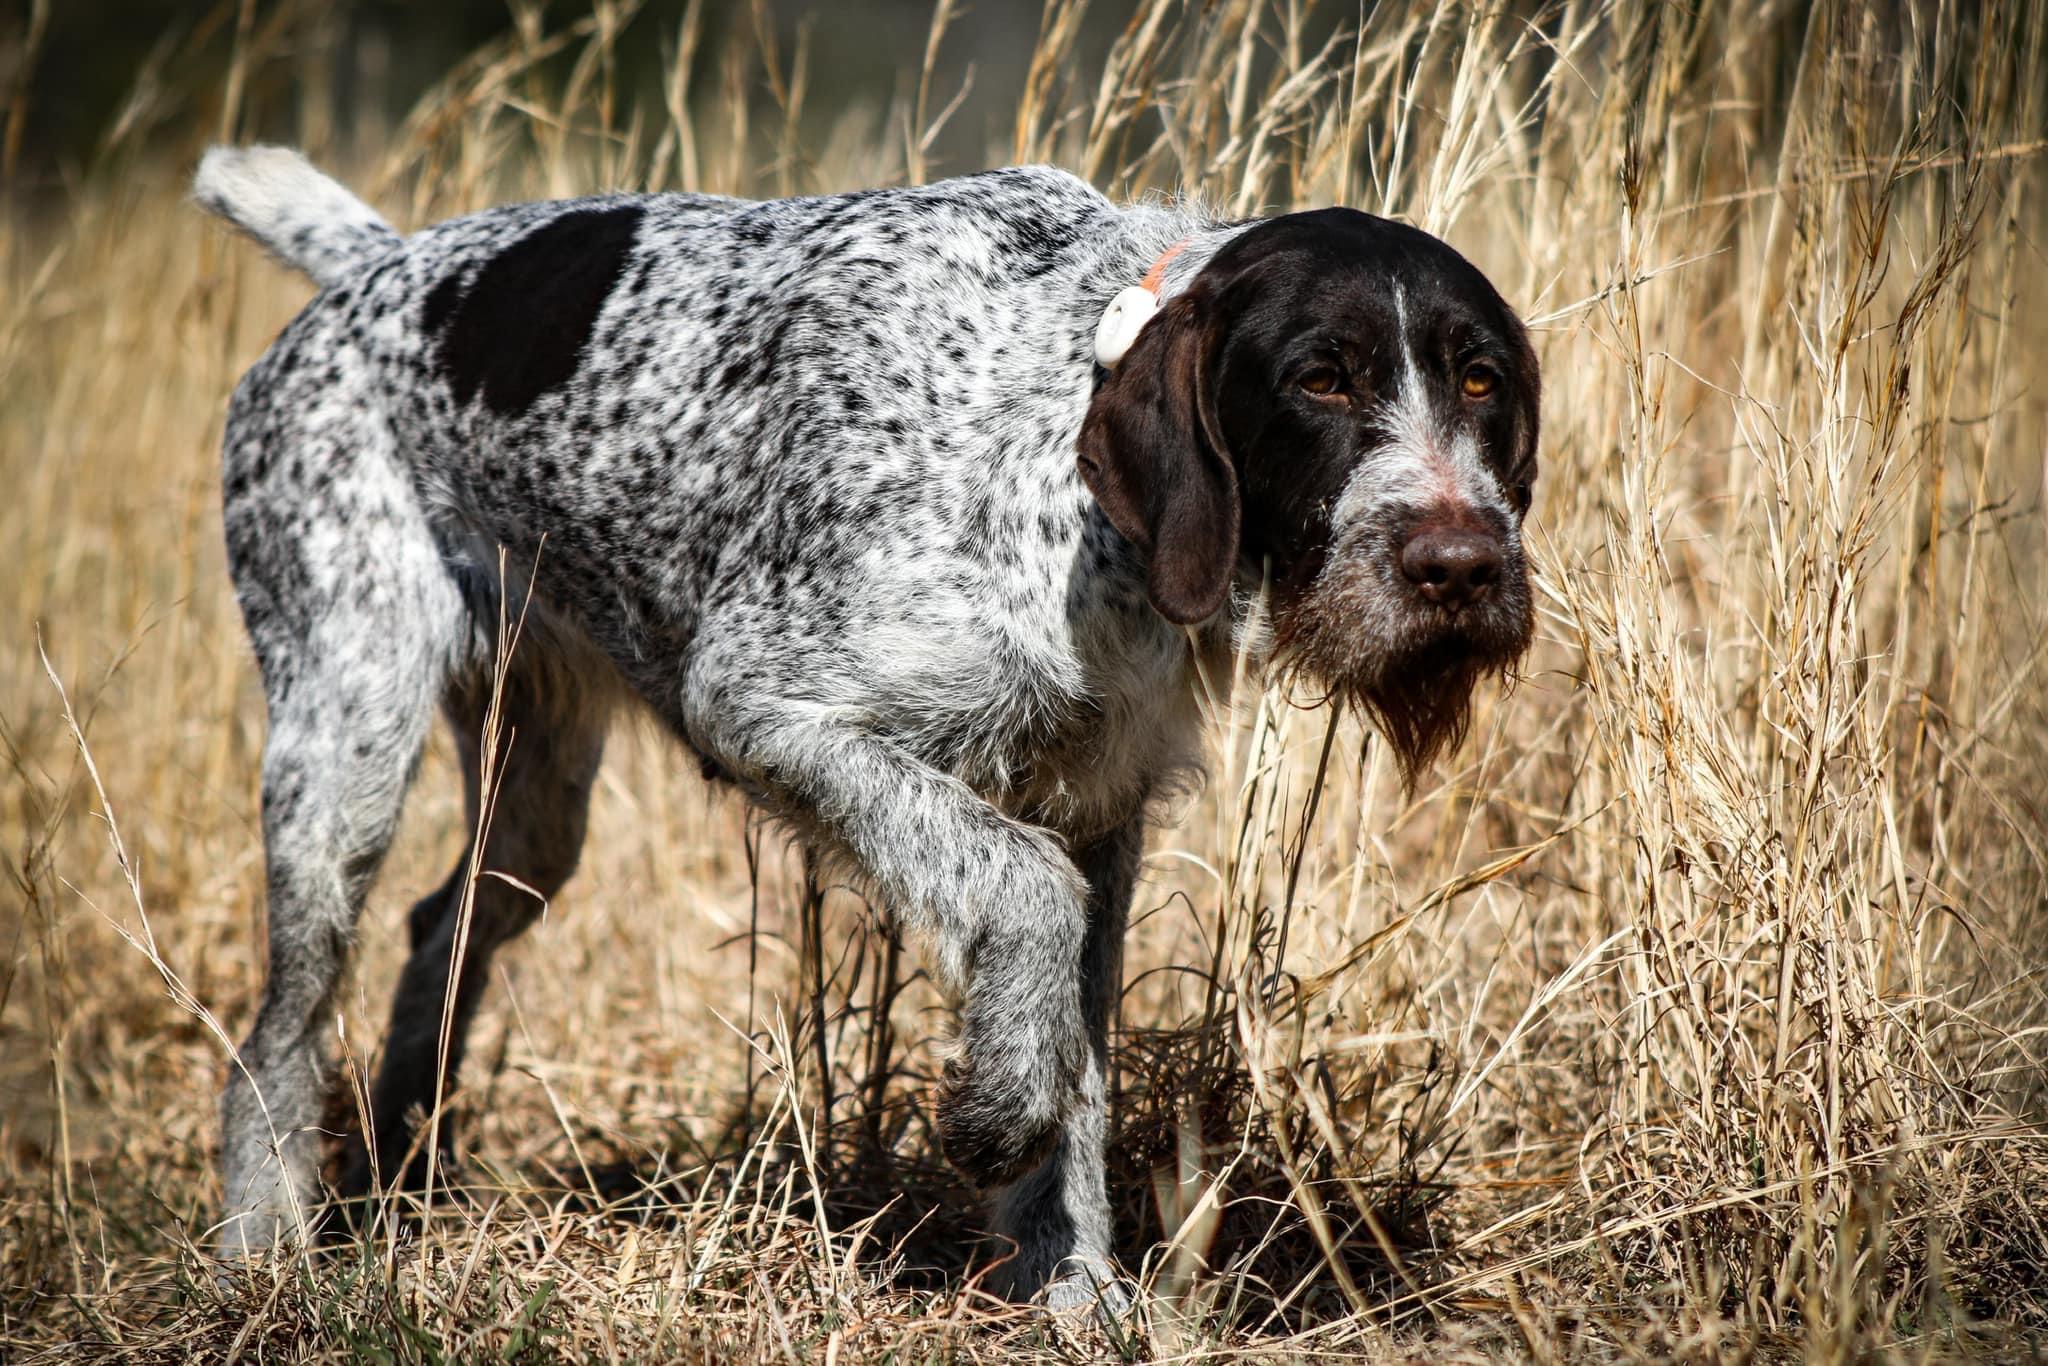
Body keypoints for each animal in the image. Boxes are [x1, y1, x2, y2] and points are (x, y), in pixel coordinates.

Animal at [195, 145, 1538, 1311]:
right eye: (1320, 377)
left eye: (1480, 380)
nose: (1462, 568)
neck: (1051, 434)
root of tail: (374, 266)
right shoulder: (762, 704)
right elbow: (1024, 894)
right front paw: (996, 1114)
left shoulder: (1099, 807)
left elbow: (1078, 1056)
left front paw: (1069, 1288)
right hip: (344, 750)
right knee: (281, 1027)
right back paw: (266, 1252)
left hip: (534, 794)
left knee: (445, 925)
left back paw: (401, 1168)